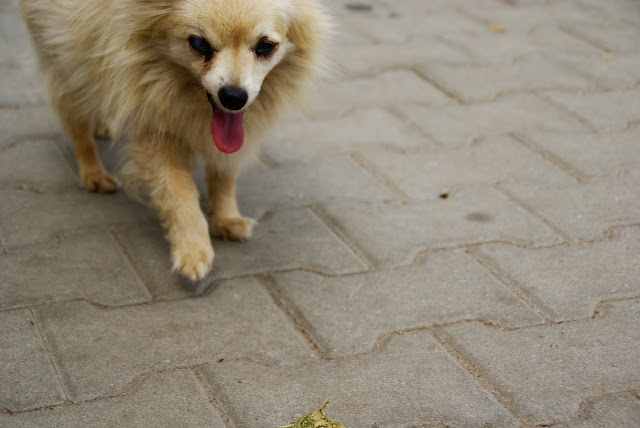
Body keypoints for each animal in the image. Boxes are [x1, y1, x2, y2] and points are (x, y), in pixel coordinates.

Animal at [20, 0, 329, 280]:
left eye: (266, 46)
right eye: (199, 43)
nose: (233, 96)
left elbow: (224, 173)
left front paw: (225, 218)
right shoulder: (155, 127)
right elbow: (178, 191)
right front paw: (193, 249)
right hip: (66, 56)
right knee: (77, 121)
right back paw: (93, 172)